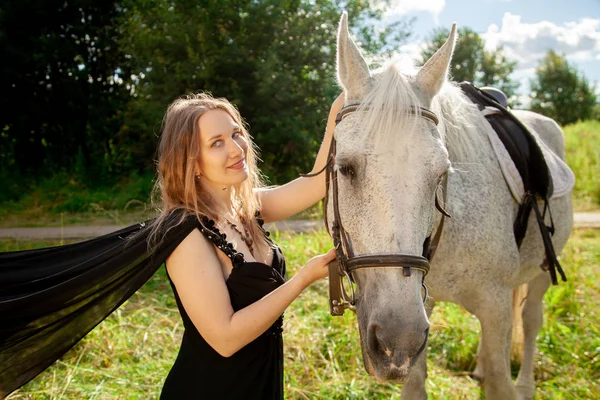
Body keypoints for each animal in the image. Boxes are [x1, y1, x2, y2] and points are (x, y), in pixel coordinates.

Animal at [330, 13, 576, 400]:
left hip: (540, 272)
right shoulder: (422, 309)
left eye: (441, 174)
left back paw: (526, 384)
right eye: (345, 168)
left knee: (531, 320)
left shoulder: (494, 306)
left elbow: (501, 381)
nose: (397, 342)